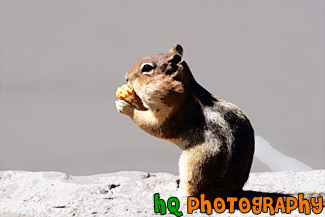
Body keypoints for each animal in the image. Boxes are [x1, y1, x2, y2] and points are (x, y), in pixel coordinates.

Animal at [115, 44, 254, 200]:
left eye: (146, 68)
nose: (126, 76)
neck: (186, 92)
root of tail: (228, 193)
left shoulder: (170, 114)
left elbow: (153, 125)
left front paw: (125, 106)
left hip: (195, 163)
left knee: (193, 192)